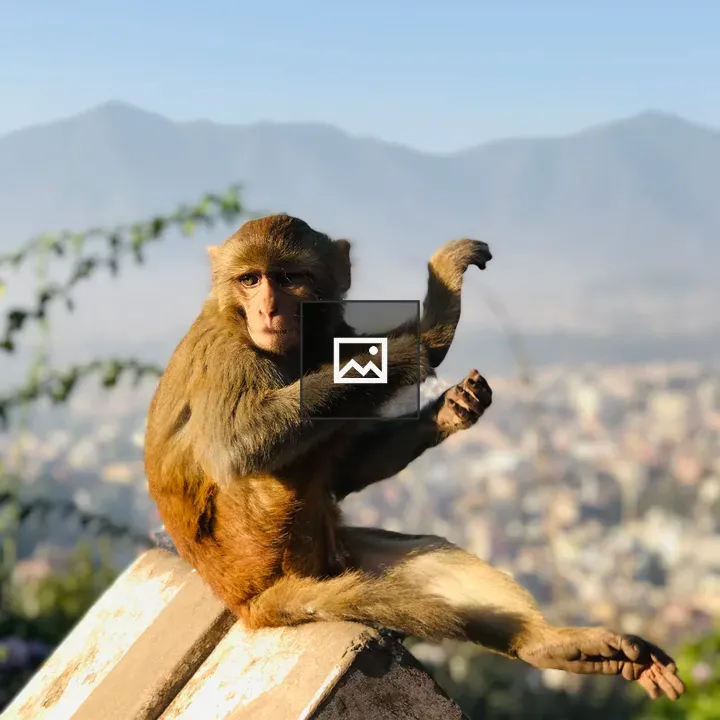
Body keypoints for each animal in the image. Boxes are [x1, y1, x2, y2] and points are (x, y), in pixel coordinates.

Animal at [144, 214, 685, 702]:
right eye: (250, 280)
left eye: (289, 278)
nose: (268, 311)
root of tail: (244, 602)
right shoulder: (229, 355)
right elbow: (241, 446)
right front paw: (426, 335)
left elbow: (344, 470)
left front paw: (450, 411)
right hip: (258, 538)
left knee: (422, 558)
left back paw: (547, 645)